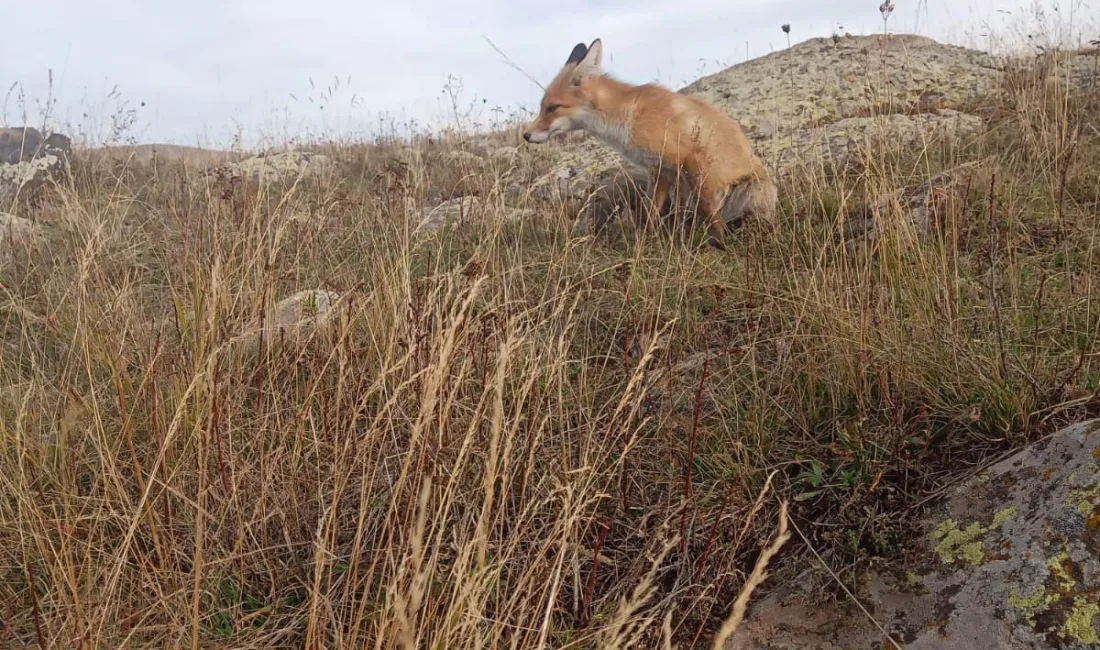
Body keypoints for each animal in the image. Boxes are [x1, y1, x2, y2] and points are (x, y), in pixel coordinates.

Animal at [521, 38, 774, 249]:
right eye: (542, 107)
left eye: (553, 108)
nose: (526, 135)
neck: (628, 117)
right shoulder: (661, 170)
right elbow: (649, 213)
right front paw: (644, 244)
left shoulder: (689, 158)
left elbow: (709, 210)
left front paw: (721, 244)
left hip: (750, 191)